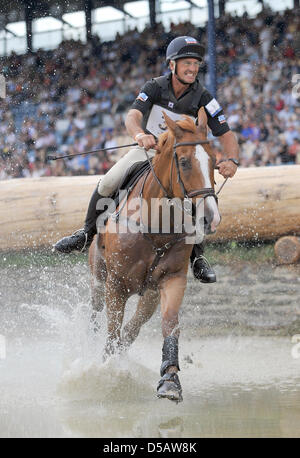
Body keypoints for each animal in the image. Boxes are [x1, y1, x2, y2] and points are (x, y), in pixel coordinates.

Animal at [87, 110, 220, 400]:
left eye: (214, 161)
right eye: (184, 162)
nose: (210, 217)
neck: (155, 225)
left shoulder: (171, 280)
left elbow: (169, 323)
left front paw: (170, 379)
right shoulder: (115, 284)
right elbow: (112, 330)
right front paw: (105, 371)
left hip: (147, 295)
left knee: (132, 329)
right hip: (99, 277)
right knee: (96, 313)